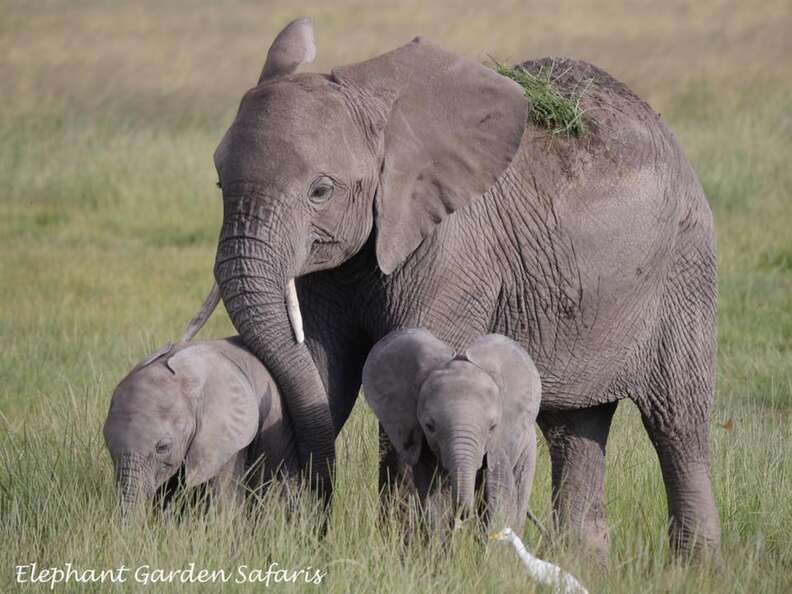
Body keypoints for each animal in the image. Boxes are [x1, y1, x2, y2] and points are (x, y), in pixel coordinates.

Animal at [362, 326, 540, 528]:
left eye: (493, 427)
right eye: (429, 426)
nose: (462, 514)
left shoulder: (500, 443)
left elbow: (499, 497)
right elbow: (434, 501)